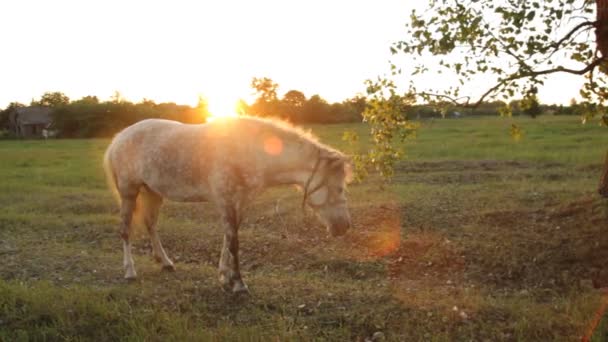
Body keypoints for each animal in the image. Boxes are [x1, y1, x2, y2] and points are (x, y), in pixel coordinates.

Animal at [102, 116, 354, 292]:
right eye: (339, 188)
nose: (344, 227)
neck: (249, 151)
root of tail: (118, 138)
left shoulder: (239, 203)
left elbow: (228, 238)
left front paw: (224, 277)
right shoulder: (226, 201)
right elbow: (234, 242)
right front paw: (238, 284)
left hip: (153, 193)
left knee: (151, 225)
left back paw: (166, 262)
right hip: (129, 192)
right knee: (125, 230)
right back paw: (130, 271)